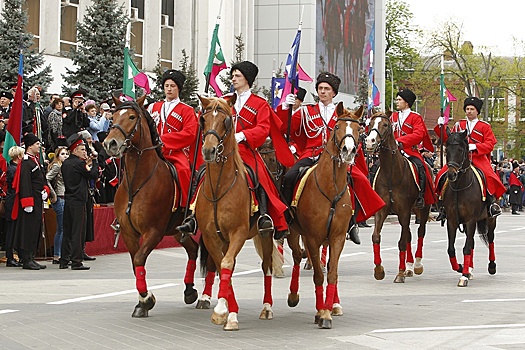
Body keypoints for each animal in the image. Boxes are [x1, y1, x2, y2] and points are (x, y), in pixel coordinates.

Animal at [102, 95, 213, 318]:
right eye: (113, 117)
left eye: (132, 117)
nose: (110, 143)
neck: (137, 182)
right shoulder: (128, 232)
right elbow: (135, 264)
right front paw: (141, 302)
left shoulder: (154, 231)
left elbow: (139, 259)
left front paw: (147, 299)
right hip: (178, 231)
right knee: (192, 249)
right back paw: (190, 291)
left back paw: (205, 297)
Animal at [194, 93, 276, 330]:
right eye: (203, 120)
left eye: (226, 121)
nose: (209, 151)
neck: (219, 187)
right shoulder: (211, 237)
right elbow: (222, 266)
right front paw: (226, 309)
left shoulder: (238, 232)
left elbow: (226, 263)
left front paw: (224, 312)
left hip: (265, 234)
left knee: (267, 267)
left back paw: (267, 308)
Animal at [282, 102, 360, 330]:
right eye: (337, 127)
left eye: (359, 129)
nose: (348, 151)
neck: (330, 187)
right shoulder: (312, 237)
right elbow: (317, 274)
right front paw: (321, 312)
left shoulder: (337, 237)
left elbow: (332, 272)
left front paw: (328, 309)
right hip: (294, 234)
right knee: (297, 256)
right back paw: (293, 295)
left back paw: (334, 303)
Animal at [364, 113, 430, 284]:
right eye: (371, 123)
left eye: (386, 125)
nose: (370, 141)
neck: (391, 174)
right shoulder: (382, 211)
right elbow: (376, 237)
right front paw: (379, 270)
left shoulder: (405, 212)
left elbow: (401, 242)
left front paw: (400, 273)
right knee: (409, 235)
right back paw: (409, 267)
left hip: (423, 210)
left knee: (420, 232)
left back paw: (417, 265)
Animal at [442, 131, 496, 288]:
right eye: (447, 150)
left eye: (461, 150)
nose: (451, 174)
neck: (460, 187)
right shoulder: (452, 220)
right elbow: (451, 249)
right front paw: (461, 268)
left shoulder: (471, 220)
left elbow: (466, 247)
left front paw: (463, 276)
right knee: (471, 241)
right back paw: (469, 268)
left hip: (490, 220)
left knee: (491, 239)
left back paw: (492, 266)